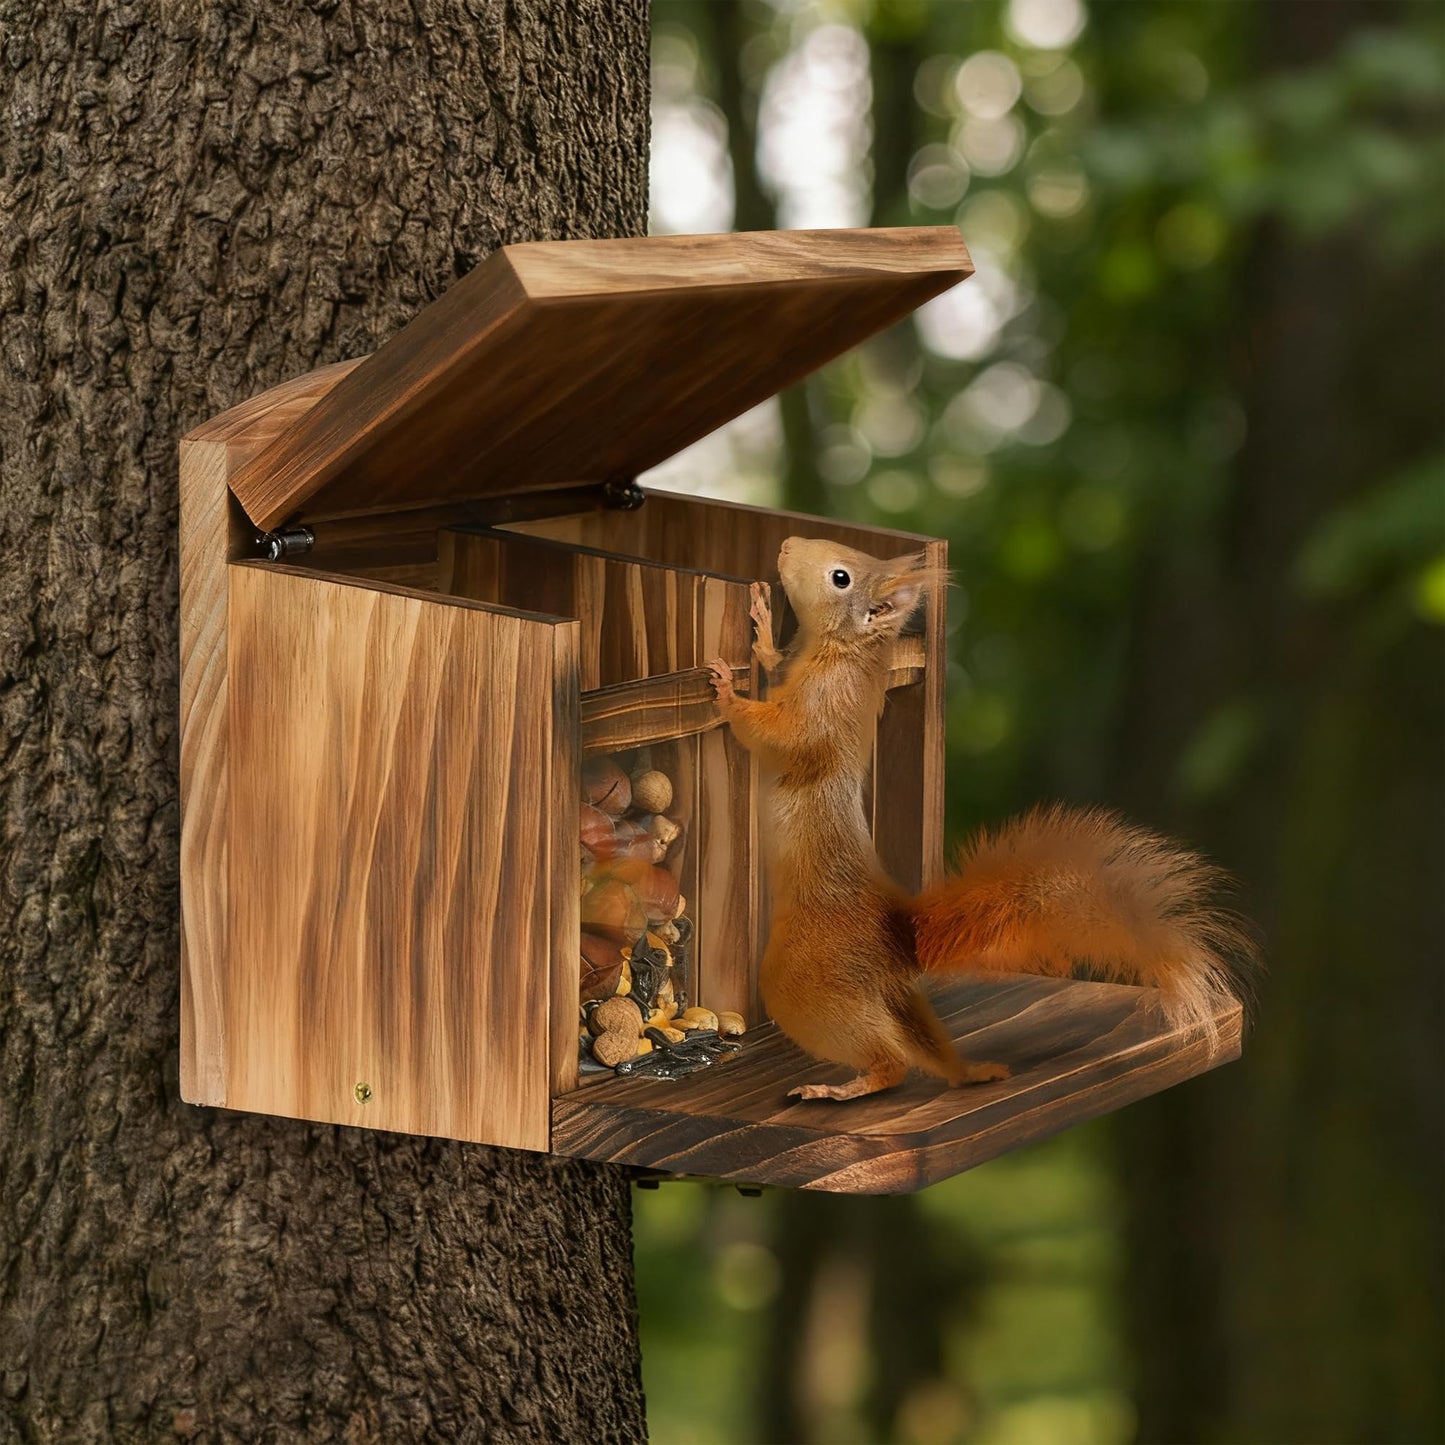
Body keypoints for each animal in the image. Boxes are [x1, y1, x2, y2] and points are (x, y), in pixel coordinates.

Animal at [707, 536, 1257, 1102]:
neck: (839, 652)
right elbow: (775, 665)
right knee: (925, 1047)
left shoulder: (824, 709)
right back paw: (968, 1072)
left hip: (803, 977)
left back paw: (840, 1089)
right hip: (891, 997)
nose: (787, 544)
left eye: (841, 577)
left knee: (891, 1061)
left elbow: (780, 737)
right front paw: (762, 625)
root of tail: (899, 941)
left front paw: (728, 694)